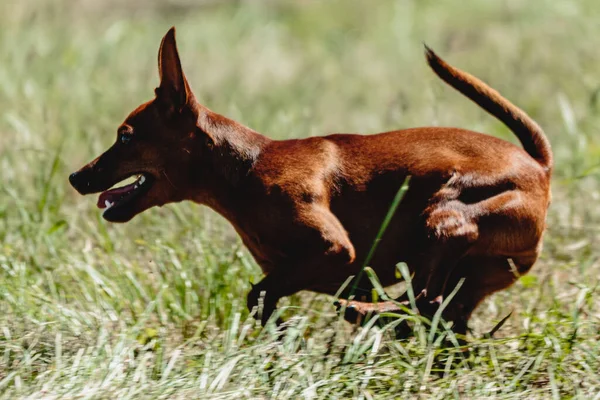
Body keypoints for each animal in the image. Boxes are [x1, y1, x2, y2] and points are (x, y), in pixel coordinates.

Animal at [70, 26, 552, 336]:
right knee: (435, 310)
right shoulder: (302, 268)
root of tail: (539, 166)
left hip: (444, 215)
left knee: (426, 298)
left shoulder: (332, 249)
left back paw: (364, 311)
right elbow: (263, 298)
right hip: (469, 274)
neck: (246, 168)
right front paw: (280, 334)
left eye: (125, 136)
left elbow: (258, 294)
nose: (76, 177)